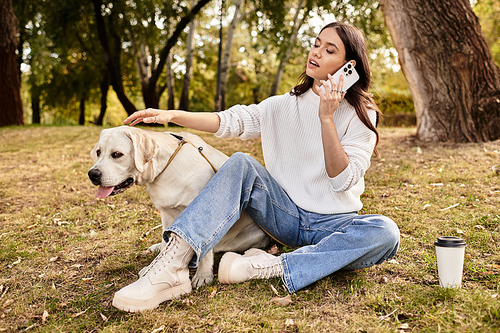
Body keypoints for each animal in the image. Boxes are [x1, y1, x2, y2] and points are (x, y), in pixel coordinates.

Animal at [89, 126, 270, 286]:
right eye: (98, 152)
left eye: (117, 154)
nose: (93, 174)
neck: (164, 169)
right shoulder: (166, 213)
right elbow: (166, 244)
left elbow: (203, 250)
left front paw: (203, 275)